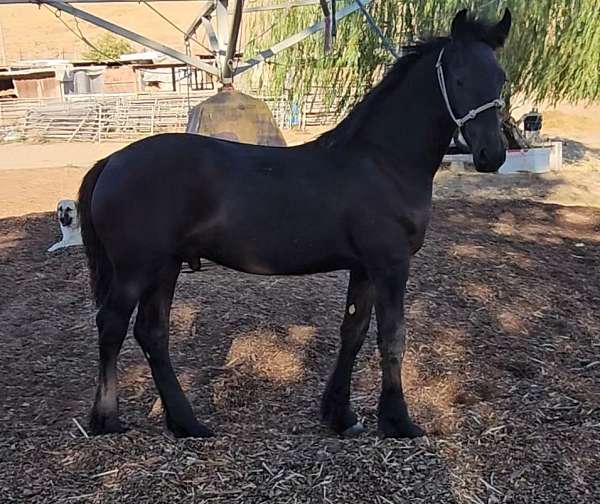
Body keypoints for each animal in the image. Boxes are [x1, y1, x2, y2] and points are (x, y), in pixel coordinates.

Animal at [78, 9, 510, 440]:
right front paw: (398, 421)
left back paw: (186, 422)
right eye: (458, 77)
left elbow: (352, 332)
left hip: (165, 267)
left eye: (501, 76)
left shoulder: (364, 268)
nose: (492, 154)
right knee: (112, 326)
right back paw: (106, 418)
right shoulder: (390, 264)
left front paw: (340, 415)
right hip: (136, 269)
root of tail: (112, 161)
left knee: (152, 333)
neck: (382, 161)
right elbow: (392, 337)